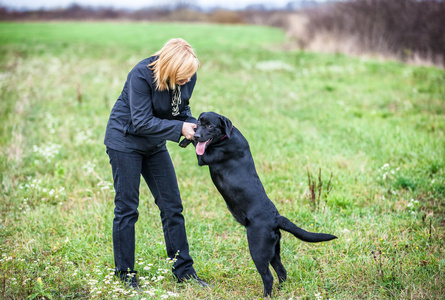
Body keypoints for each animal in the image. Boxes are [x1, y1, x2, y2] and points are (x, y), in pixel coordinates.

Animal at [183, 112, 332, 298]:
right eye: (199, 123)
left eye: (210, 126)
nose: (196, 135)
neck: (226, 137)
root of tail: (276, 218)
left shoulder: (205, 157)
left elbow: (198, 149)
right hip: (273, 251)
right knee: (282, 272)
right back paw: (280, 291)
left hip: (258, 250)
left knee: (268, 277)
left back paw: (266, 296)